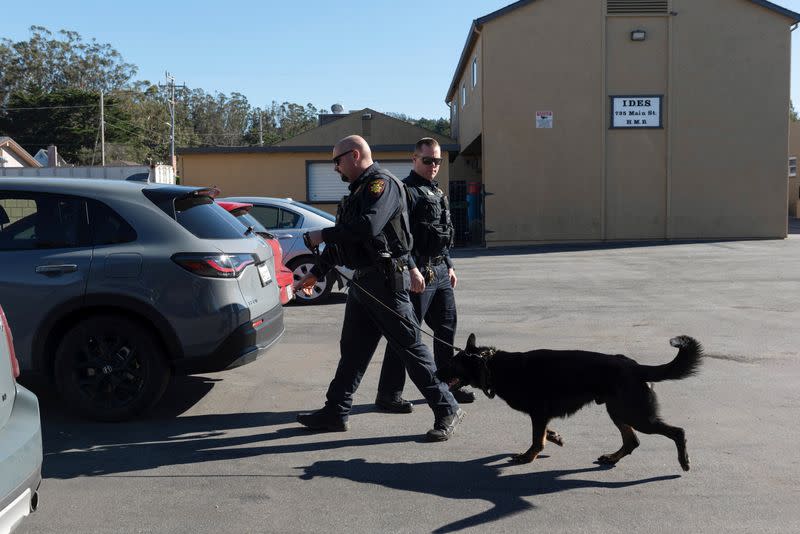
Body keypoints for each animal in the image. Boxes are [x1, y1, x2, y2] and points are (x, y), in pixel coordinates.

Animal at [434, 338, 704, 472]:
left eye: (451, 363)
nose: (435, 373)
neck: (493, 365)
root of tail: (636, 366)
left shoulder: (538, 413)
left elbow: (536, 439)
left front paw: (528, 456)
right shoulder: (541, 416)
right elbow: (543, 434)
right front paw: (554, 437)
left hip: (635, 415)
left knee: (677, 432)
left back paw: (684, 461)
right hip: (618, 411)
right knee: (632, 441)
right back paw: (612, 457)